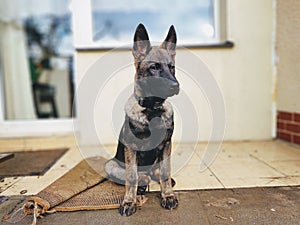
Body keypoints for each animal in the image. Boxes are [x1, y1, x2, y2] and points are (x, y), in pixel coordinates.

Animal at [104, 23, 179, 216]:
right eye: (154, 67)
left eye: (172, 67)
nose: (176, 86)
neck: (152, 110)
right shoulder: (131, 148)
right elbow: (132, 177)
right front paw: (129, 201)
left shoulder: (166, 145)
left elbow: (166, 173)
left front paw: (168, 195)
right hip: (110, 165)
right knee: (138, 177)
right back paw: (142, 185)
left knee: (158, 173)